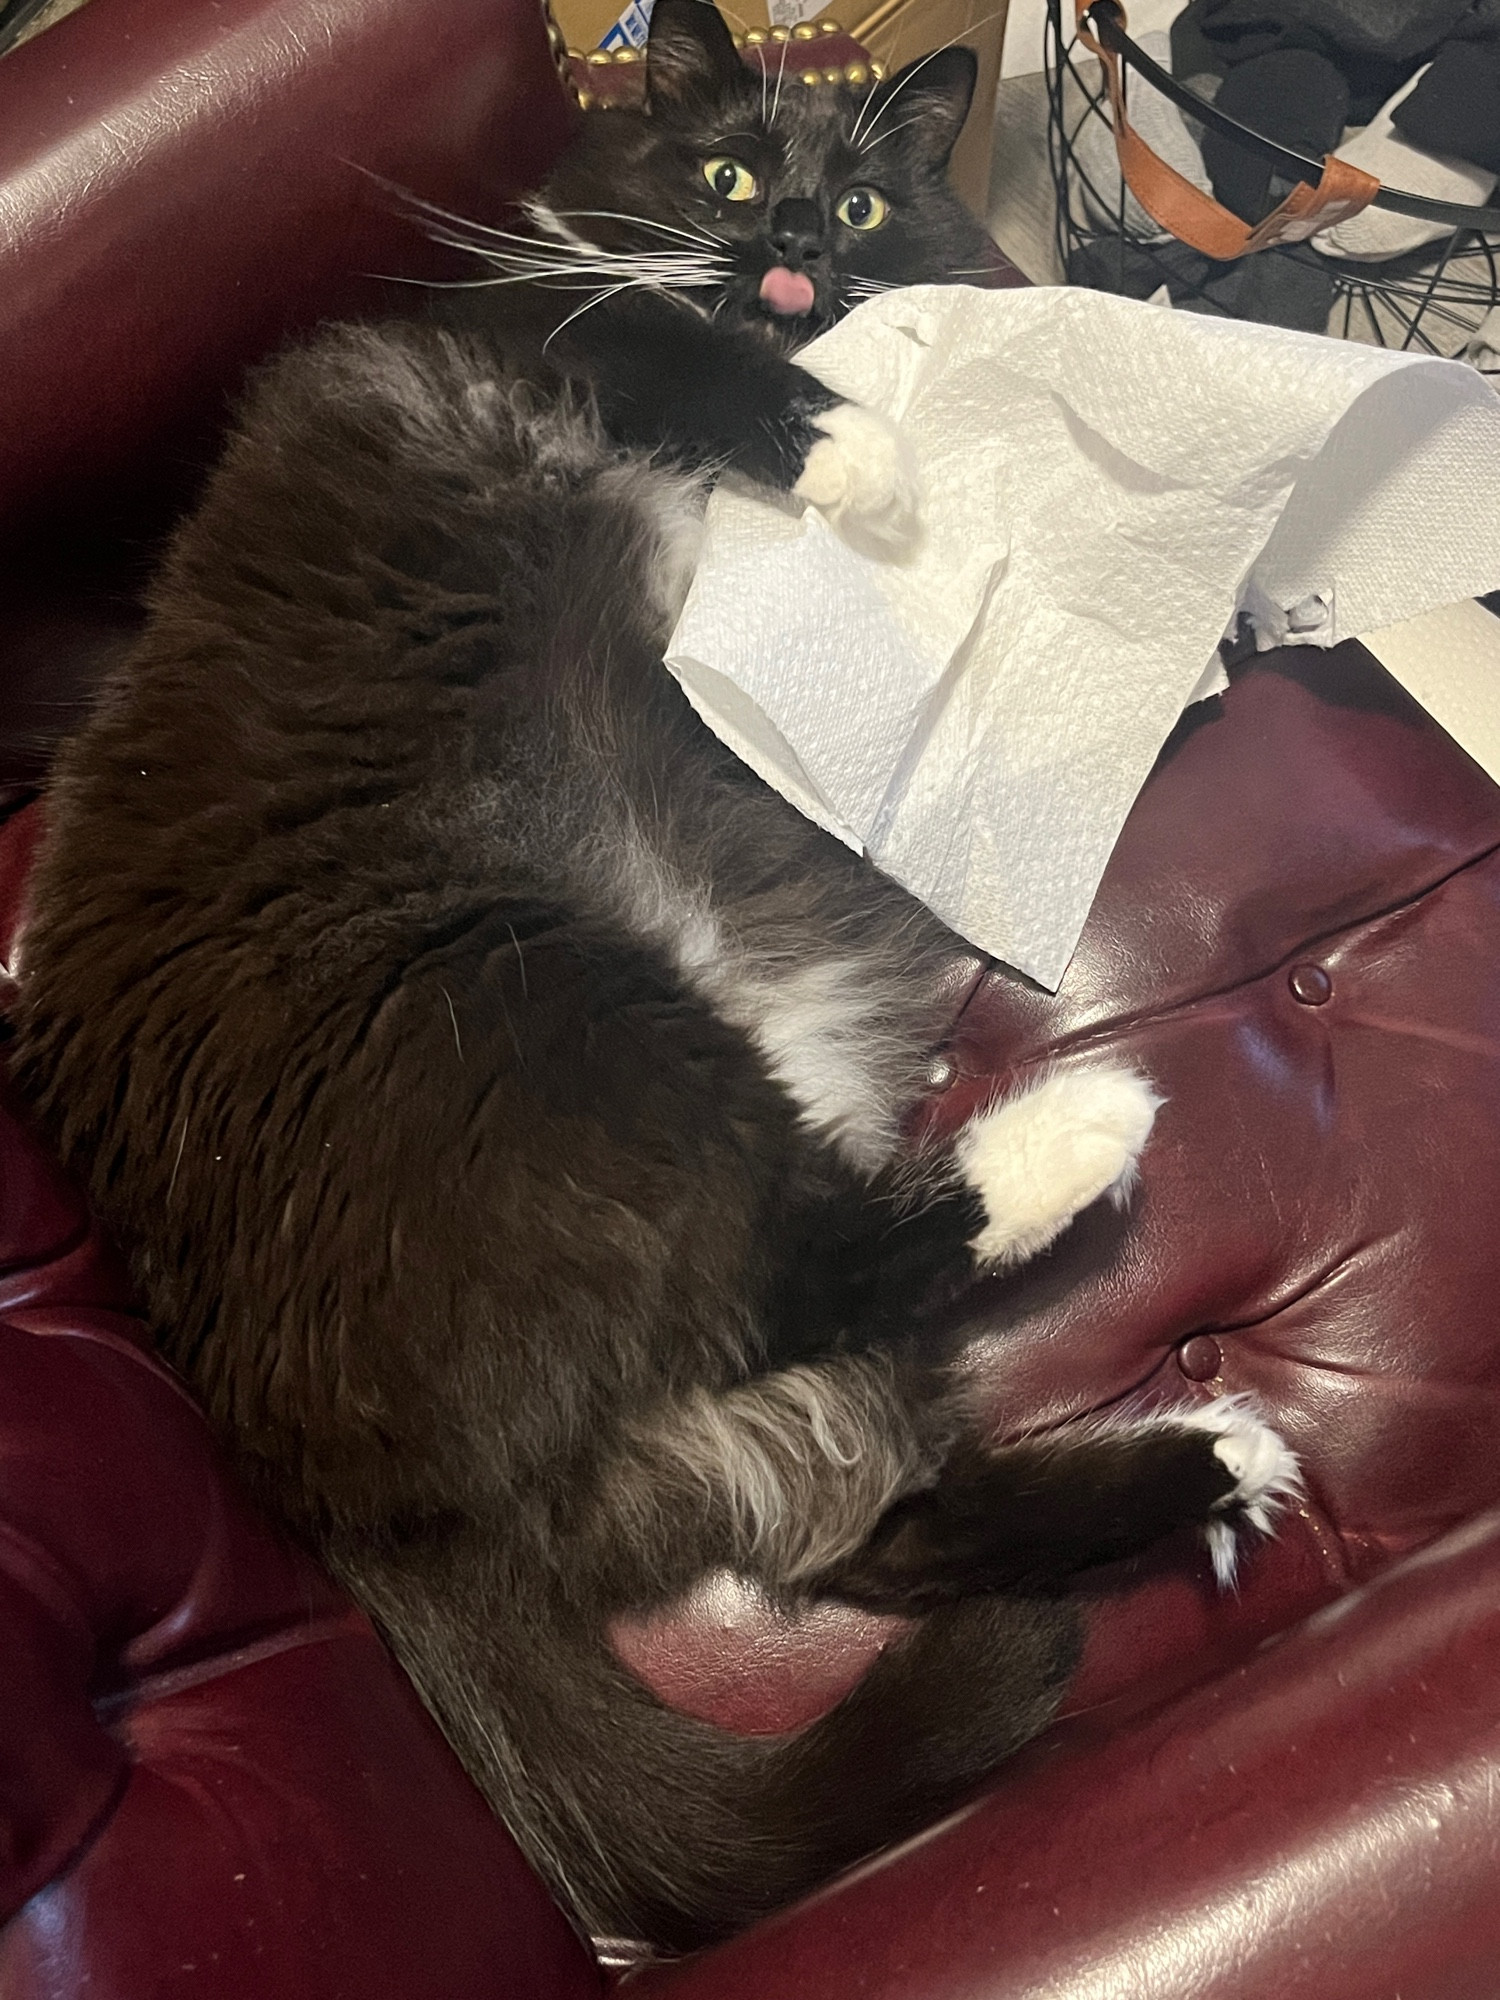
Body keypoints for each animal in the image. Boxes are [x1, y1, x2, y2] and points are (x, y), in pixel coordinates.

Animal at [5, 0, 1304, 1960]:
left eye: (864, 197)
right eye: (724, 174)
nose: (797, 244)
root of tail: (337, 1495)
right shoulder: (539, 321)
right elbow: (668, 346)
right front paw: (862, 458)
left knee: (882, 1511)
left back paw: (1214, 1449)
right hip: (548, 1010)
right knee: (812, 1286)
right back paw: (1081, 1138)